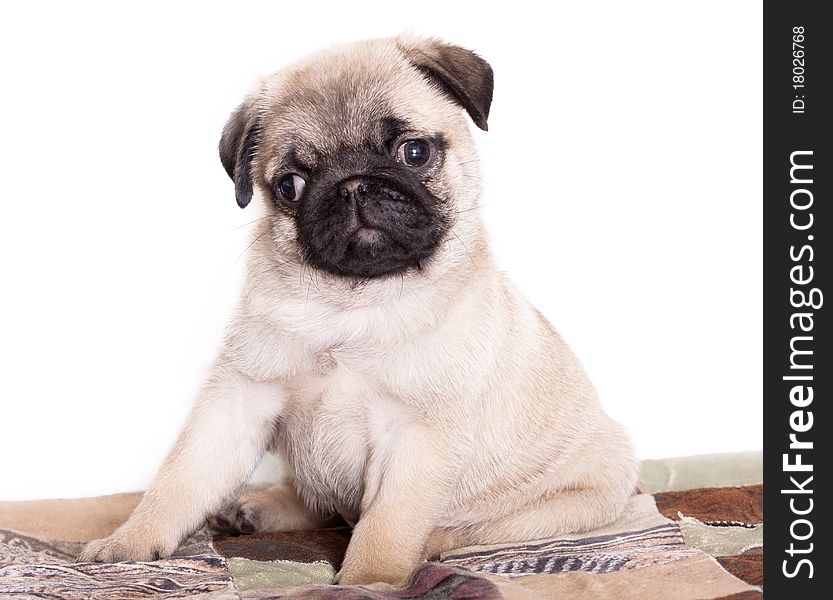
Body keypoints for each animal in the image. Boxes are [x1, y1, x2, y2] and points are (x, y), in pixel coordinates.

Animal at [79, 35, 636, 584]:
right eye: (291, 185)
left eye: (414, 152)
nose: (351, 184)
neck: (353, 302)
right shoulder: (240, 398)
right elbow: (181, 477)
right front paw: (130, 541)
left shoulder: (416, 434)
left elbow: (388, 521)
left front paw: (371, 579)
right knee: (321, 504)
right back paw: (258, 509)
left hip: (572, 502)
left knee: (455, 530)